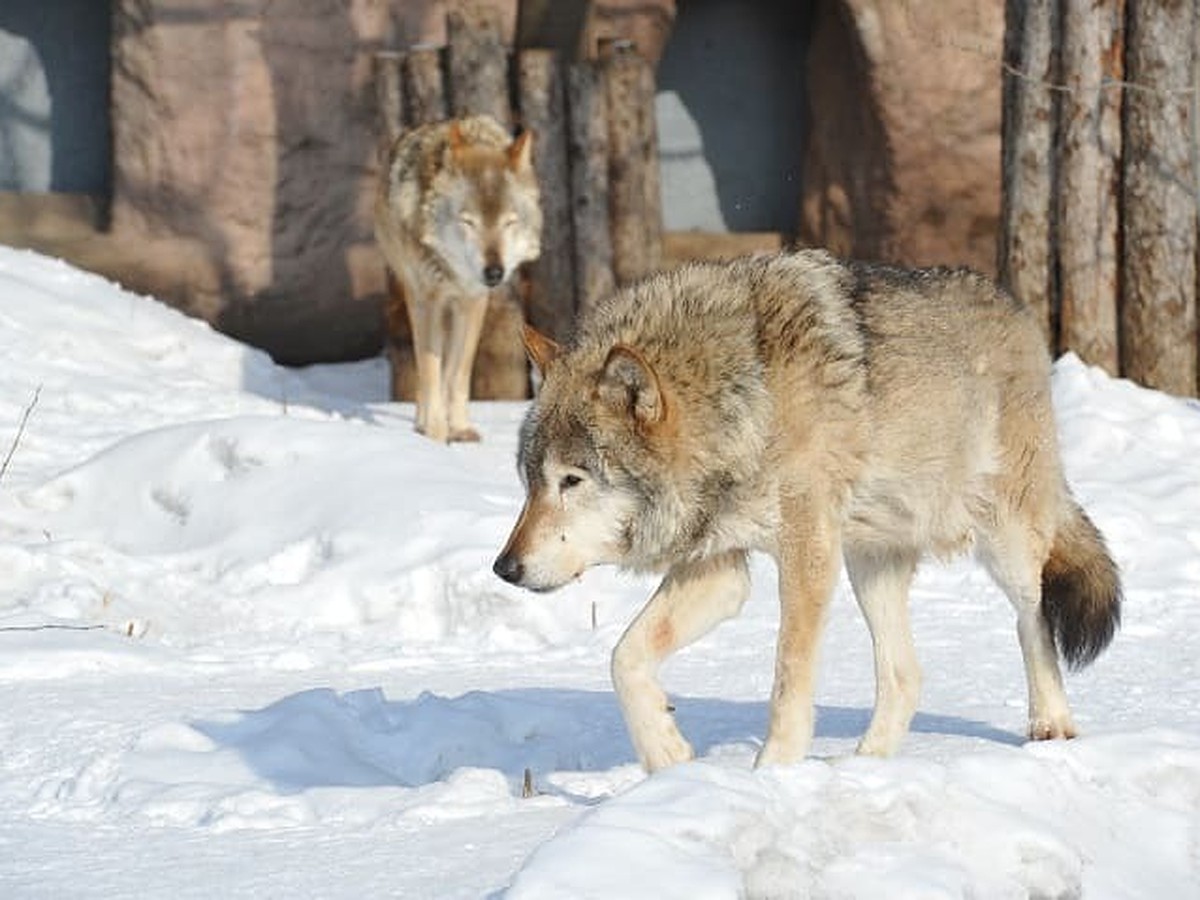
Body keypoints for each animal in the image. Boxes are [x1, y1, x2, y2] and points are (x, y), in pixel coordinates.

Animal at [374, 116, 544, 444]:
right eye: (468, 222)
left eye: (509, 222)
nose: (494, 272)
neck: (453, 273)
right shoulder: (430, 300)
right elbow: (430, 368)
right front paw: (436, 432)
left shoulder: (473, 302)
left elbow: (458, 372)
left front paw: (460, 427)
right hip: (417, 298)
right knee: (424, 364)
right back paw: (422, 422)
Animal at [489, 250, 1123, 772]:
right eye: (530, 482)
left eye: (572, 481)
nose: (505, 568)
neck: (743, 396)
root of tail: (1018, 311)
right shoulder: (720, 569)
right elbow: (623, 659)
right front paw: (669, 759)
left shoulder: (808, 554)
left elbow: (788, 678)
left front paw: (771, 776)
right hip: (871, 564)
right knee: (905, 676)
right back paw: (865, 768)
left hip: (1003, 542)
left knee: (1033, 616)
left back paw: (1051, 724)